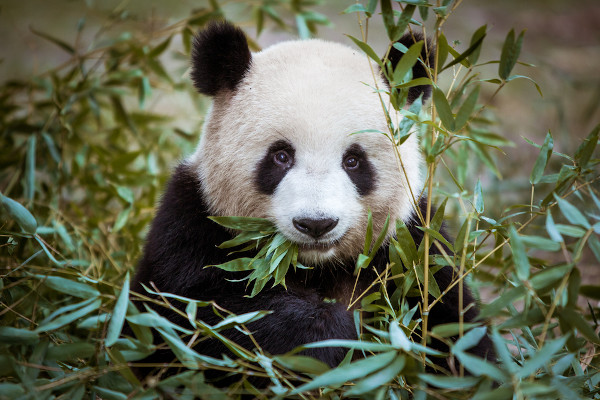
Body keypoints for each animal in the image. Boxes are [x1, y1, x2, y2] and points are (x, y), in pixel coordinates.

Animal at [134, 21, 494, 378]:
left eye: (353, 160)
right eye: (280, 156)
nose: (316, 224)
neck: (315, 267)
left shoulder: (415, 248)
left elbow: (457, 336)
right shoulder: (191, 227)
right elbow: (207, 314)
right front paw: (337, 335)